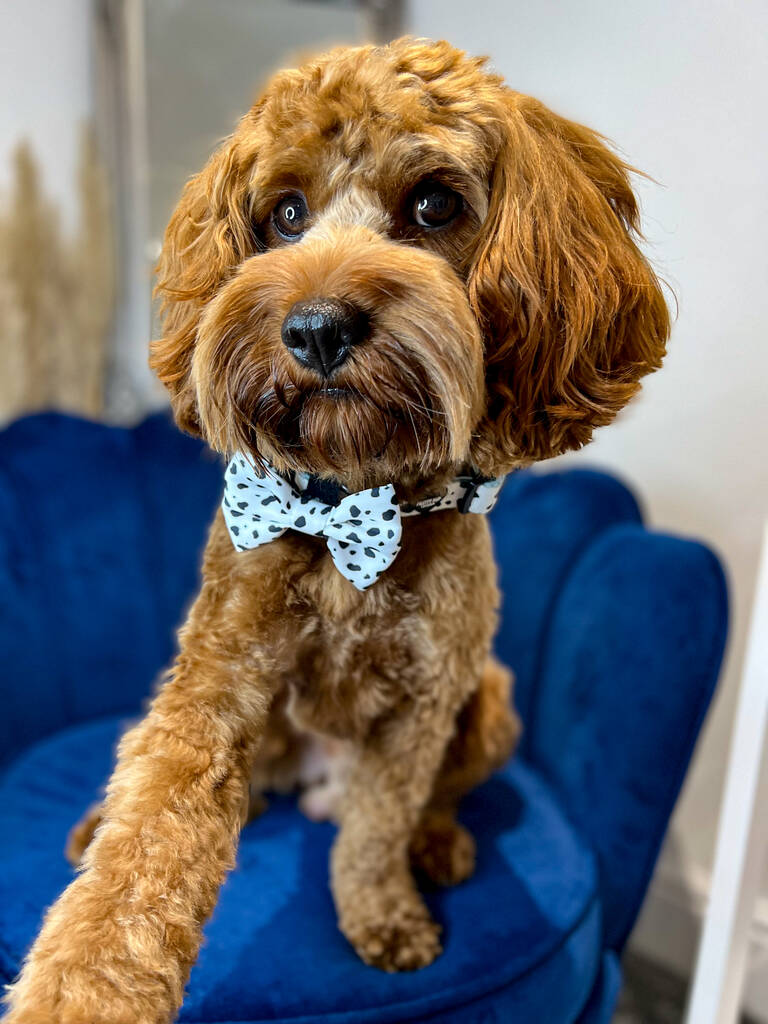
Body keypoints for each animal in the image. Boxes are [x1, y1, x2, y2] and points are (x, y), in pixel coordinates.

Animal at [3, 34, 671, 1024]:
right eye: (284, 214)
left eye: (434, 203)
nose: (316, 328)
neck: (353, 502)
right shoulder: (218, 679)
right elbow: (149, 837)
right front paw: (82, 988)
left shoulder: (421, 705)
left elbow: (377, 828)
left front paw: (385, 915)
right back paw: (96, 824)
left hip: (490, 703)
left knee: (427, 800)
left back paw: (437, 844)